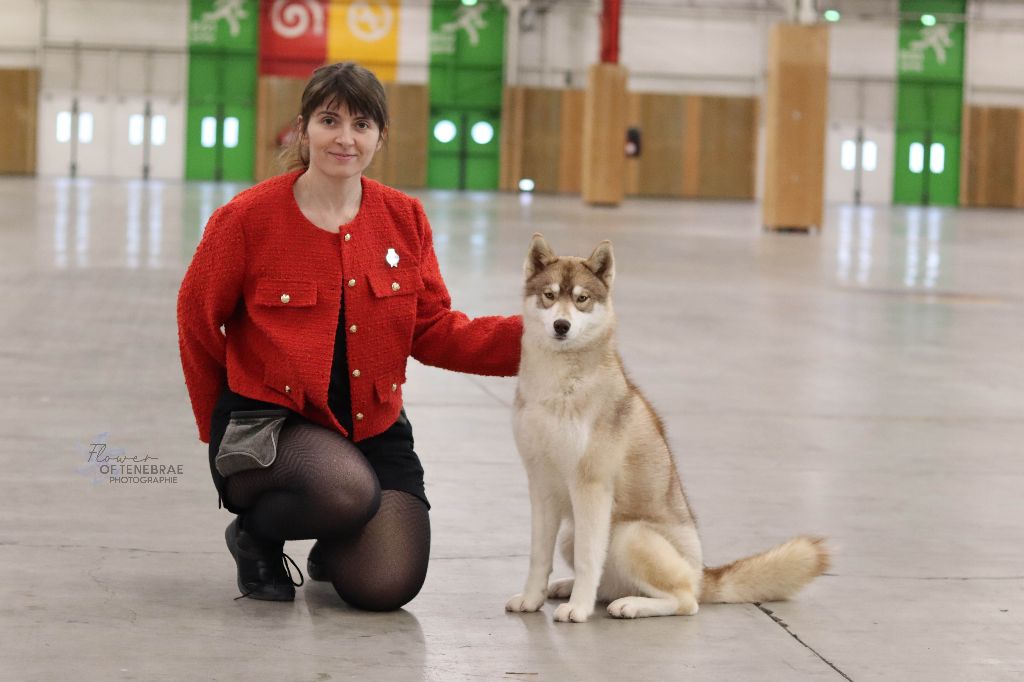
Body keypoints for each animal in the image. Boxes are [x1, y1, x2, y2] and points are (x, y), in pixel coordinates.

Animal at [505, 233, 831, 622]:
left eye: (582, 299)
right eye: (550, 295)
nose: (561, 326)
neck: (558, 386)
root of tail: (703, 573)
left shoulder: (591, 486)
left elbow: (588, 558)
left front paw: (579, 609)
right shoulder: (541, 483)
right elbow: (539, 555)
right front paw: (531, 599)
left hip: (627, 534)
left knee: (684, 600)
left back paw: (629, 604)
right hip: (574, 533)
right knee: (612, 580)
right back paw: (573, 588)